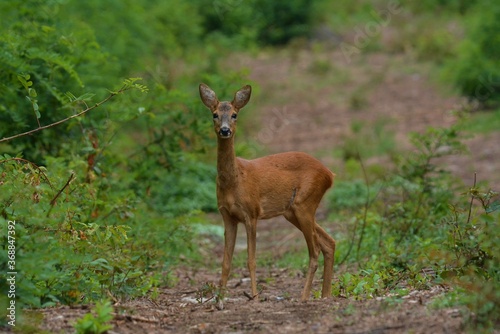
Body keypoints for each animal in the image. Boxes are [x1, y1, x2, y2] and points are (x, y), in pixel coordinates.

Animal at [198, 83, 336, 302]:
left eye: (234, 114)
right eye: (215, 114)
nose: (225, 130)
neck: (235, 180)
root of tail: (329, 174)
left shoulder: (251, 213)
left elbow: (251, 260)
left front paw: (254, 296)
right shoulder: (227, 216)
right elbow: (226, 262)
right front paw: (219, 300)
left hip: (305, 202)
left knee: (314, 251)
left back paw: (304, 297)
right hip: (292, 211)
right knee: (329, 242)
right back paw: (325, 296)